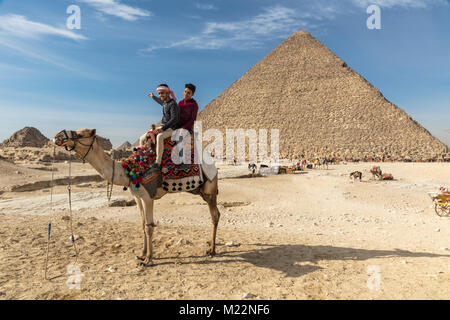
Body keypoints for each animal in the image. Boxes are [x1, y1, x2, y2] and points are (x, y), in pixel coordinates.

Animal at [53, 129, 221, 266]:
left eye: (81, 134)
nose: (57, 136)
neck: (129, 171)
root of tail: (213, 165)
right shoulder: (137, 197)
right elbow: (142, 223)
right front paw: (141, 254)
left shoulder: (148, 197)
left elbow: (149, 226)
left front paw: (148, 259)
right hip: (202, 192)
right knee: (216, 214)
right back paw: (210, 246)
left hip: (210, 189)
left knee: (214, 215)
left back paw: (212, 250)